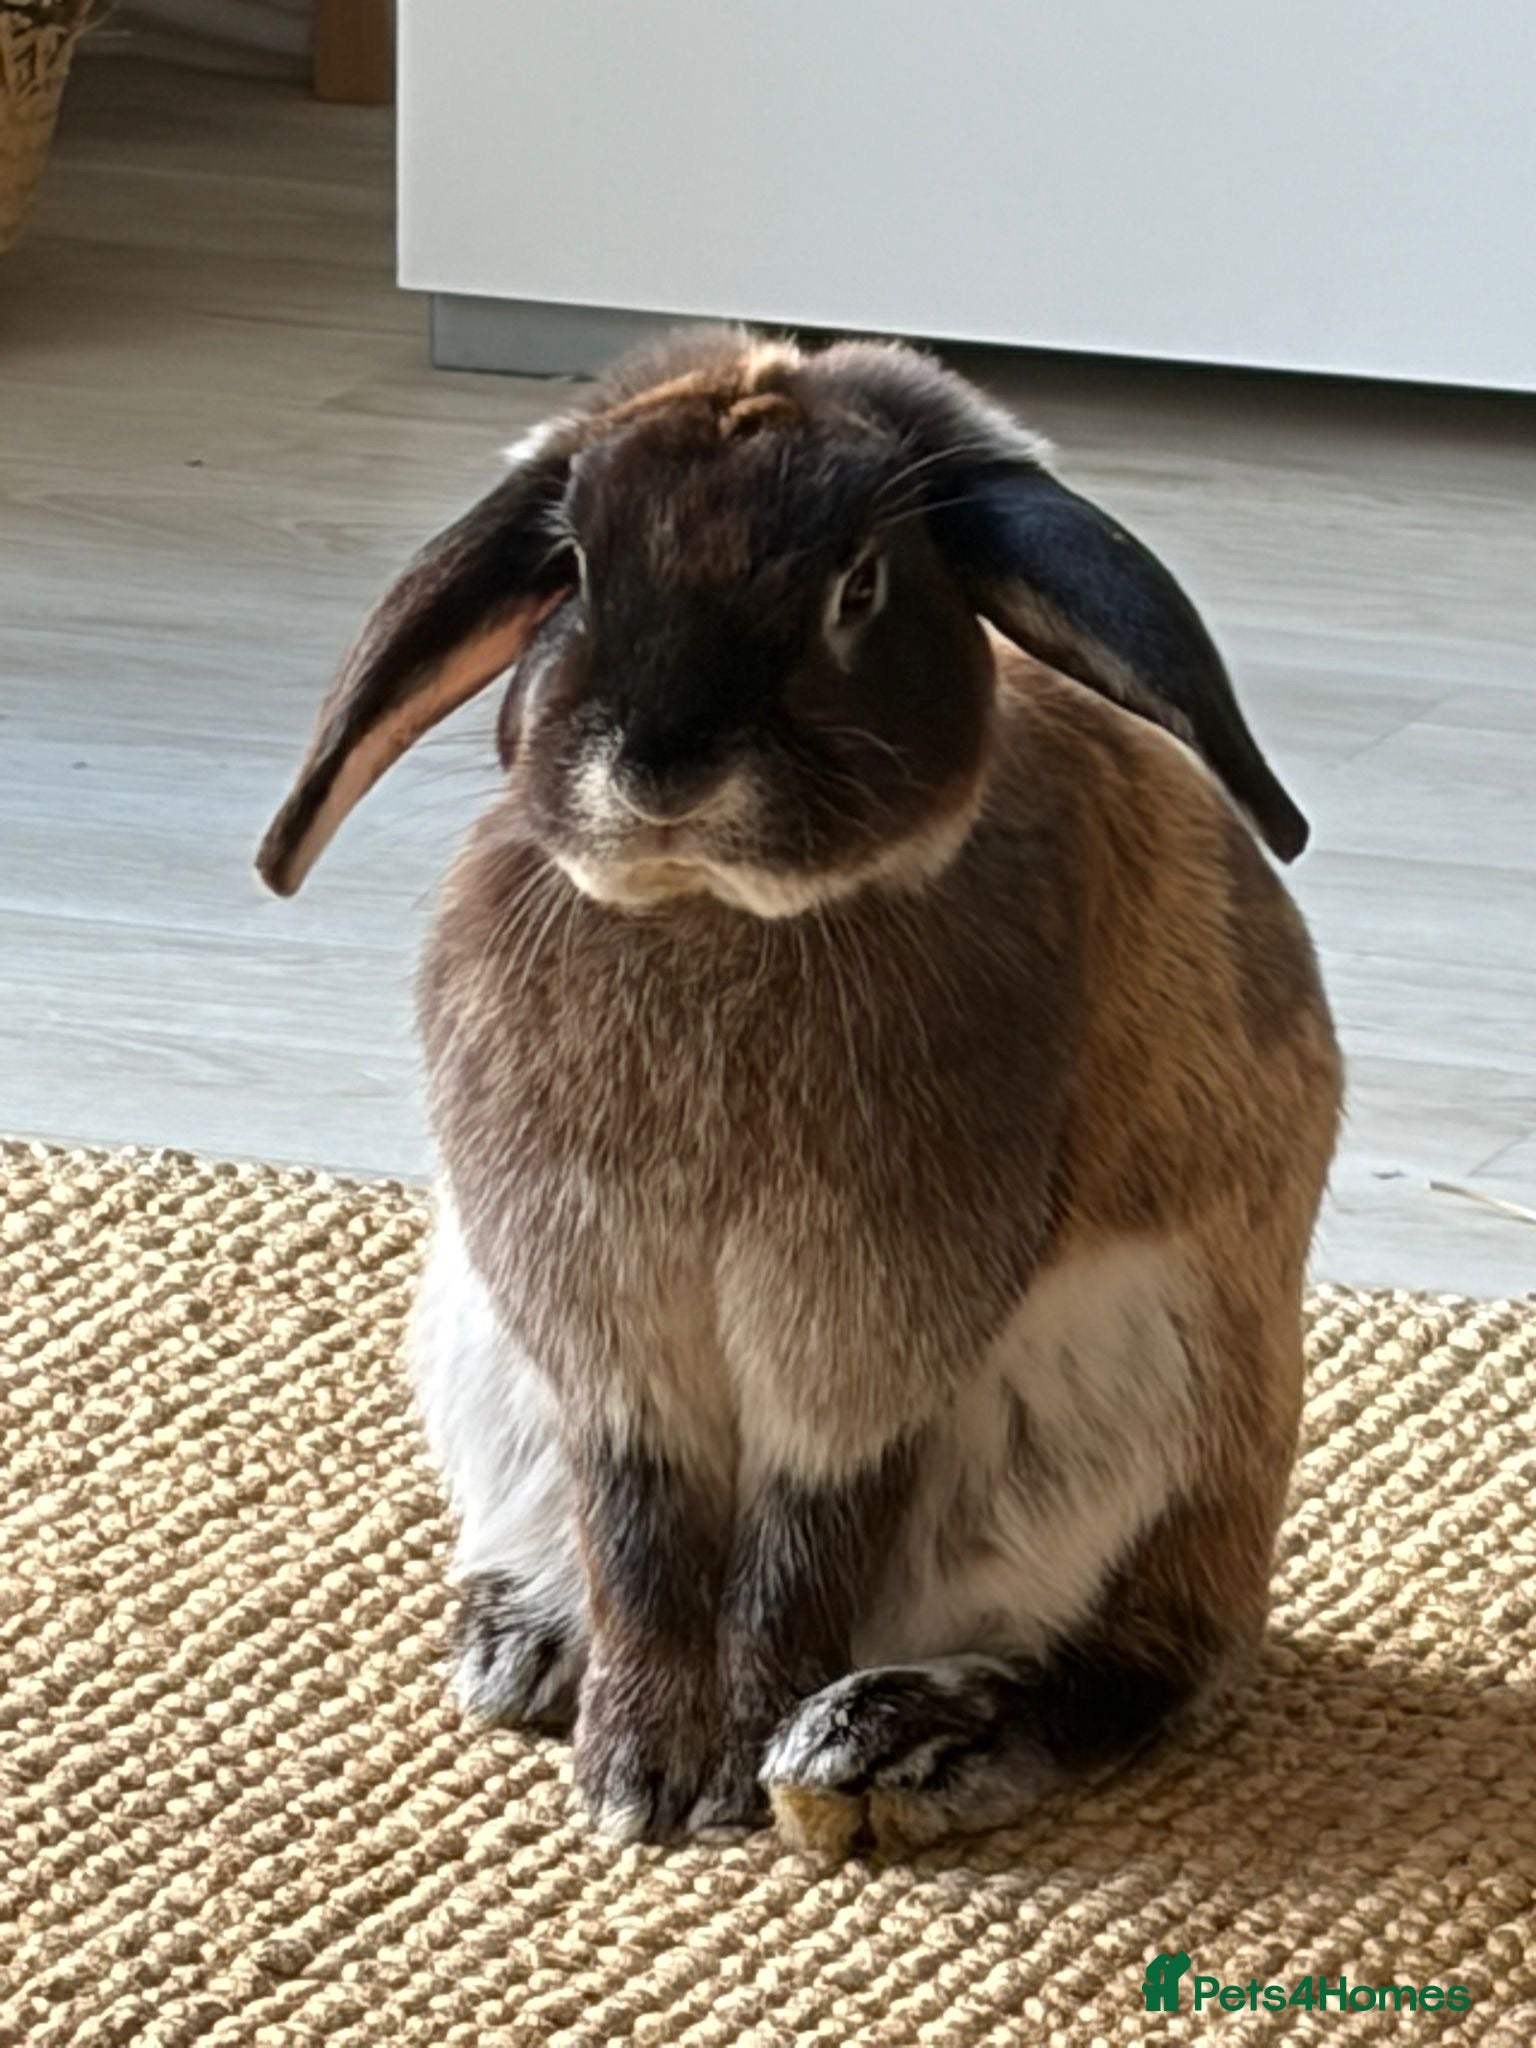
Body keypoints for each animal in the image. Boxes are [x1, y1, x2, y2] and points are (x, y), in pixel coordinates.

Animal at [257, 328, 1342, 1856]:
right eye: (574, 565)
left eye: (860, 586)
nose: (662, 763)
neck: (714, 913)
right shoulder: (605, 1335)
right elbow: (643, 1541)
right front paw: (635, 1771)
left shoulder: (860, 1338)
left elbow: (803, 1540)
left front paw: (723, 1770)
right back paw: (524, 1645)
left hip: (1149, 1407)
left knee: (1129, 1671)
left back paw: (884, 1743)